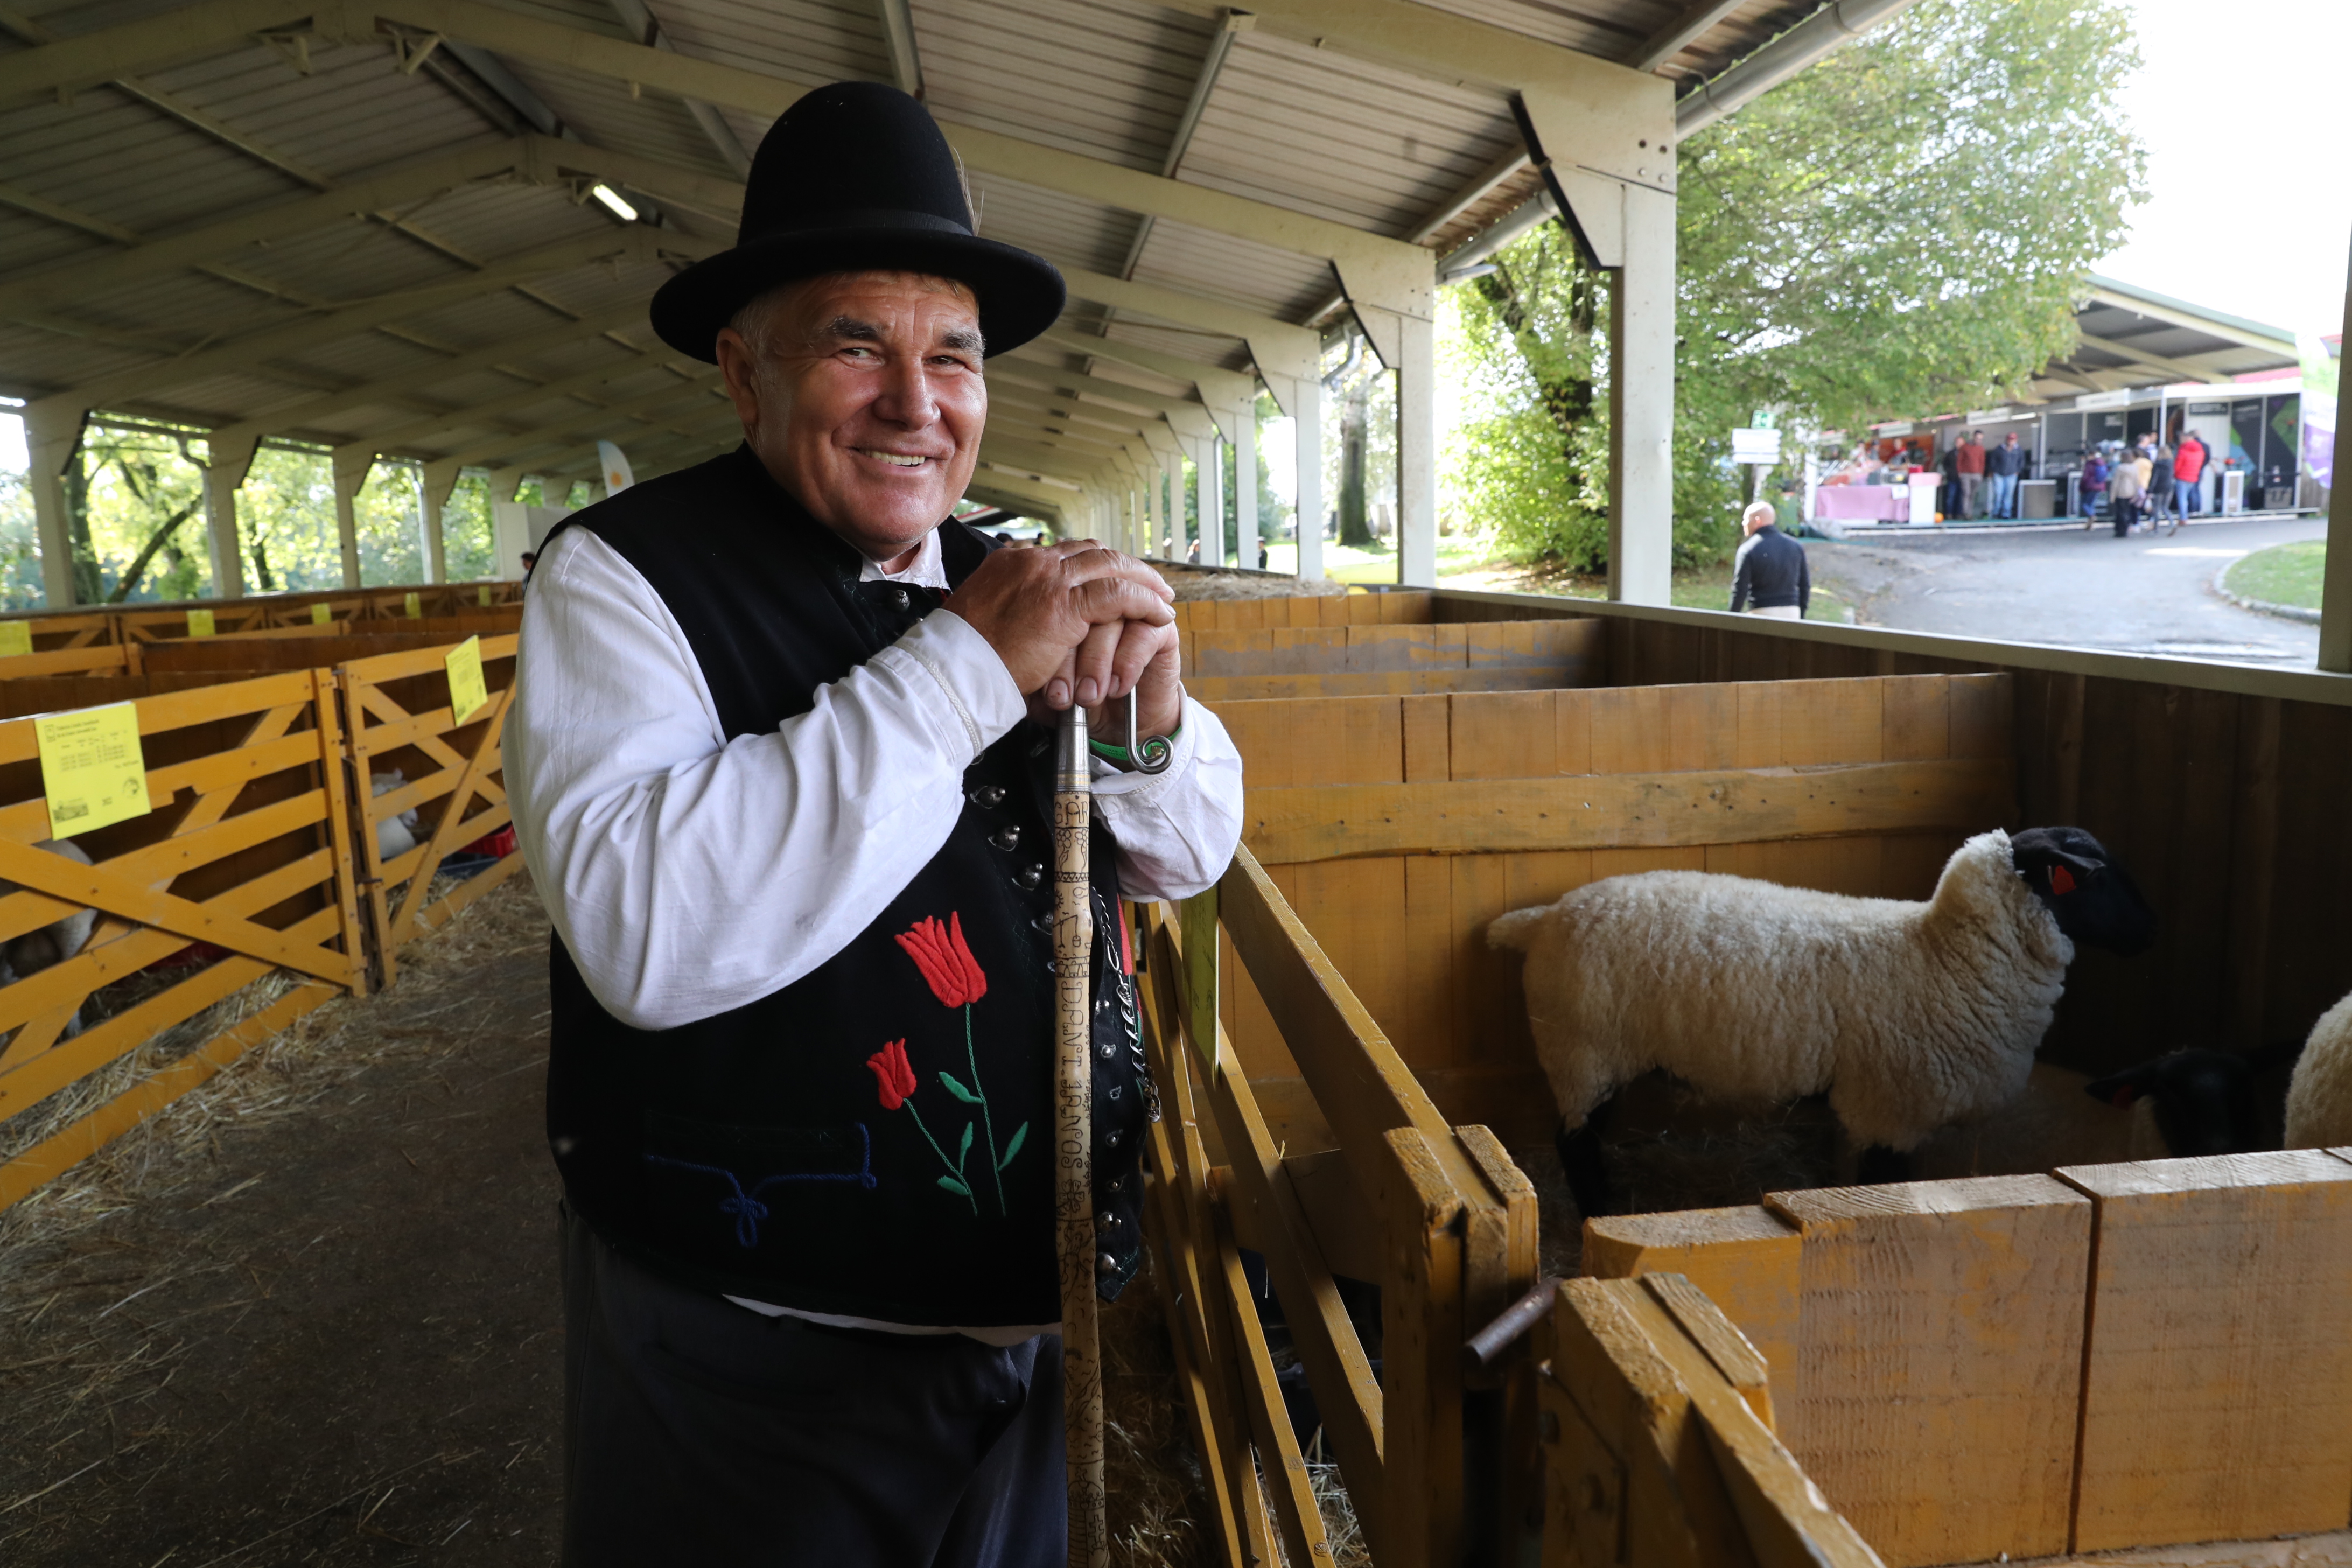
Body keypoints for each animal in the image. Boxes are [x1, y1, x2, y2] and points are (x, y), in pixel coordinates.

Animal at [1496, 827, 2154, 1222]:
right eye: (2098, 875)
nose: (2153, 930)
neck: (1945, 956)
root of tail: (1543, 918)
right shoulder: (1891, 1110)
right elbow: (1886, 1186)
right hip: (1584, 1053)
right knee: (1575, 1143)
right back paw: (1599, 1210)